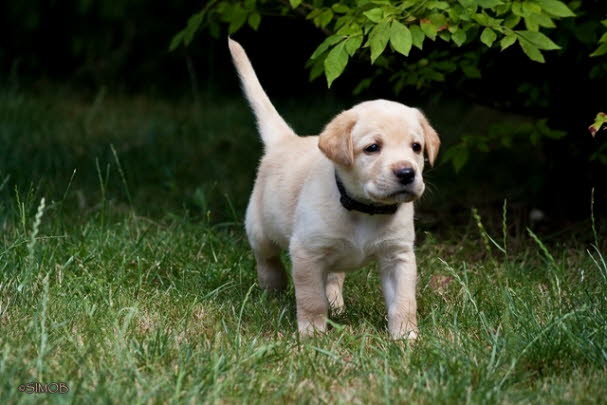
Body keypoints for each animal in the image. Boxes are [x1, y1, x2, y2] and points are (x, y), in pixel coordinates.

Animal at [230, 38, 440, 338]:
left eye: (416, 147)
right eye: (372, 148)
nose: (406, 173)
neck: (365, 209)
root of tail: (286, 140)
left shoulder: (398, 256)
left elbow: (404, 301)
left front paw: (405, 336)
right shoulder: (306, 252)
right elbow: (310, 299)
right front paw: (312, 334)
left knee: (332, 277)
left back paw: (336, 305)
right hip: (260, 229)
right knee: (267, 260)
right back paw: (272, 291)